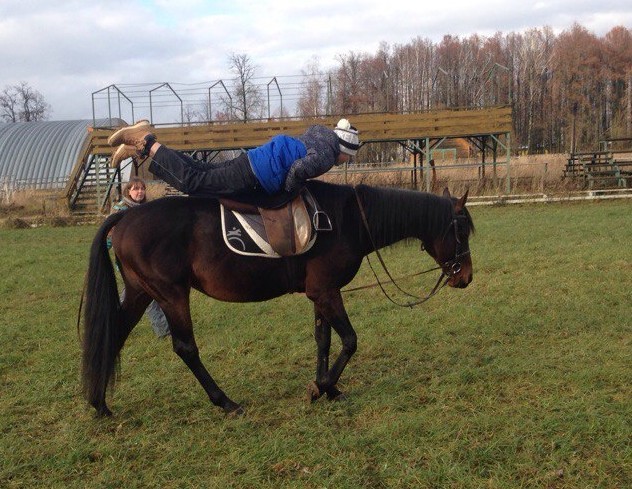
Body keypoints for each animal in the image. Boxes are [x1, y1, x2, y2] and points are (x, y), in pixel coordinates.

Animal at [80, 179, 474, 416]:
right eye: (462, 231)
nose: (466, 277)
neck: (347, 219)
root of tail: (124, 219)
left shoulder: (321, 293)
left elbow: (323, 340)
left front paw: (329, 388)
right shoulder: (327, 291)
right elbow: (349, 340)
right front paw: (321, 387)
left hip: (140, 293)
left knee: (114, 335)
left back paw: (100, 403)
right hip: (171, 295)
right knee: (186, 349)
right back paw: (226, 402)